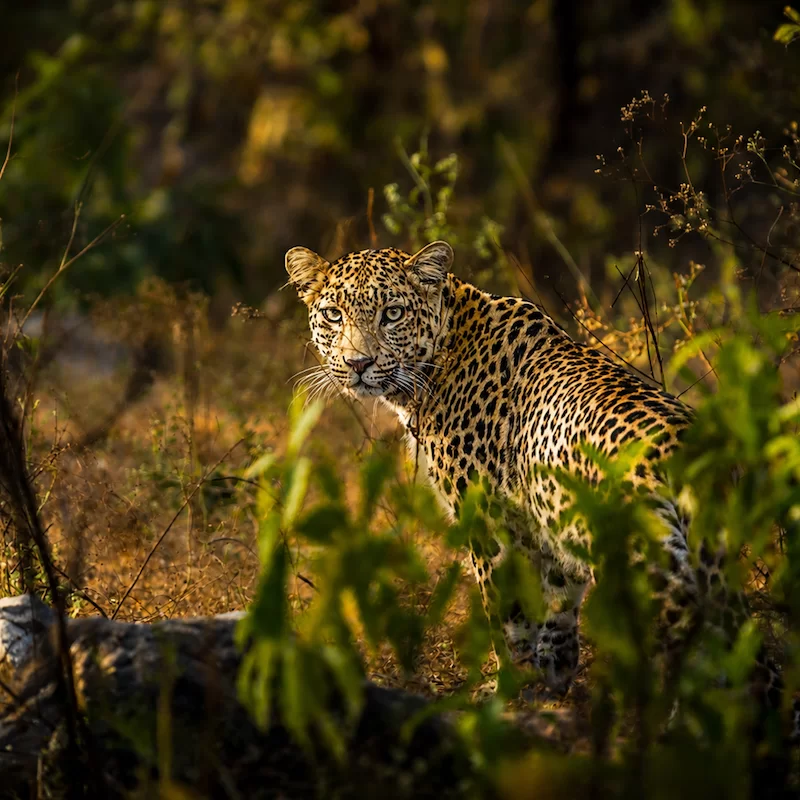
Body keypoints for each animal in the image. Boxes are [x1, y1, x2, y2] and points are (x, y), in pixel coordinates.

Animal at [285, 239, 791, 733]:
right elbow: (555, 608)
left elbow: (508, 615)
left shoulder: (490, 526)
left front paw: (505, 690)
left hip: (646, 564)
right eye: (333, 315)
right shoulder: (548, 527)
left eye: (392, 313)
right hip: (714, 560)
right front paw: (550, 681)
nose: (358, 363)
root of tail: (687, 447)